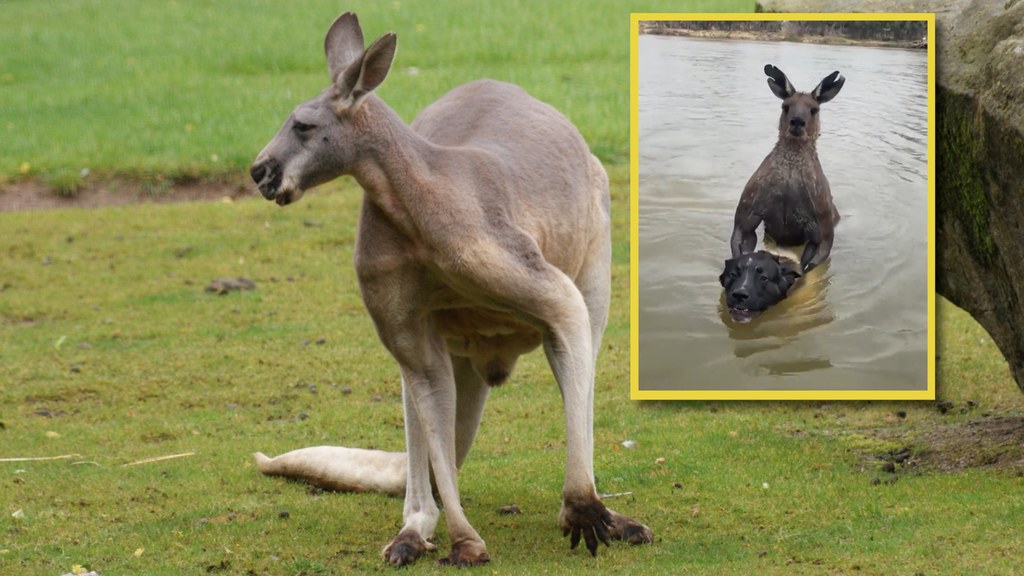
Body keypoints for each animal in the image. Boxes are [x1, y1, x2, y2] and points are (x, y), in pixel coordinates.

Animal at [247, 12, 647, 565]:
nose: (257, 171)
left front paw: (585, 513)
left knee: (582, 350)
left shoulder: (526, 267)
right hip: (430, 342)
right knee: (424, 401)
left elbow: (566, 317)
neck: (416, 199)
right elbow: (431, 401)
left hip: (597, 246)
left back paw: (609, 516)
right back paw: (412, 532)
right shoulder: (397, 304)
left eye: (303, 125)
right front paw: (466, 543)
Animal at [733, 65, 843, 270]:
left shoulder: (821, 225)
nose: (797, 122)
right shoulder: (748, 211)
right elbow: (739, 242)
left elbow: (812, 261)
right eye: (785, 106)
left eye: (814, 109)